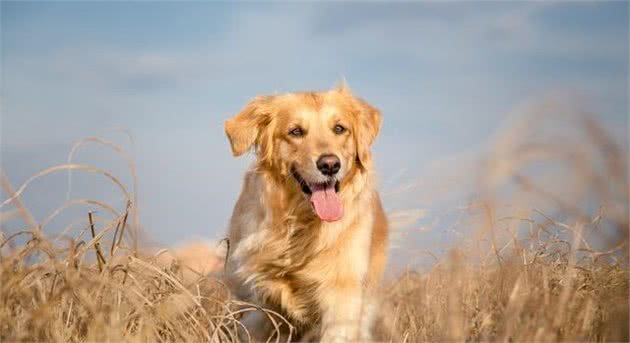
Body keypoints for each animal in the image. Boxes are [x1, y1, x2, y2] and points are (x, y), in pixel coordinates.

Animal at [225, 84, 388, 343]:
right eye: (296, 131)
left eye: (339, 128)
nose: (330, 165)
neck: (300, 226)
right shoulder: (256, 305)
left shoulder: (343, 295)